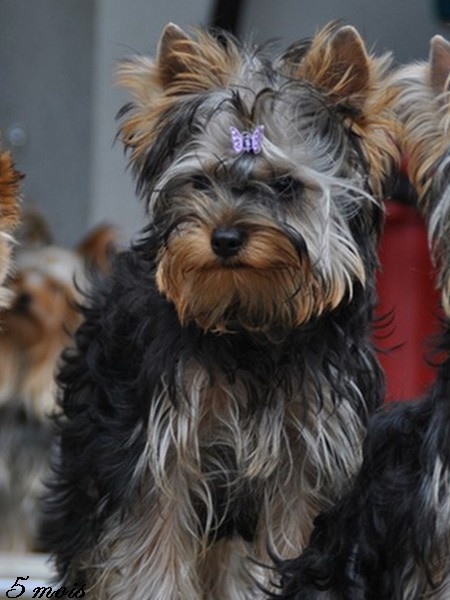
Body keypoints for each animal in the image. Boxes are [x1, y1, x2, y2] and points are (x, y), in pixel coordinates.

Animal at [44, 21, 398, 596]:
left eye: (285, 185)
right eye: (202, 181)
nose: (225, 237)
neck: (250, 321)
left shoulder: (309, 453)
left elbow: (293, 535)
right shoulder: (159, 441)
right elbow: (153, 537)